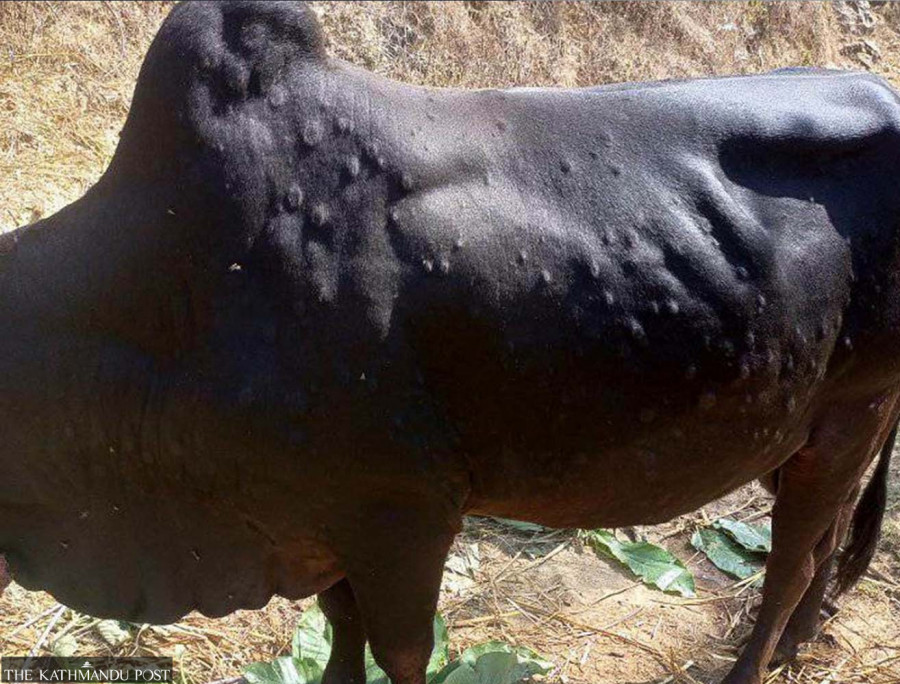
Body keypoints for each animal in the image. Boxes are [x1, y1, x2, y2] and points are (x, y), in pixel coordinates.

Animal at [2, 2, 899, 683]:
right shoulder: (322, 516)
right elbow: (341, 623)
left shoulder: (404, 514)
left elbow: (400, 650)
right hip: (810, 428)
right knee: (826, 541)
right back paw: (801, 640)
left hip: (851, 413)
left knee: (792, 560)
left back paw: (759, 659)